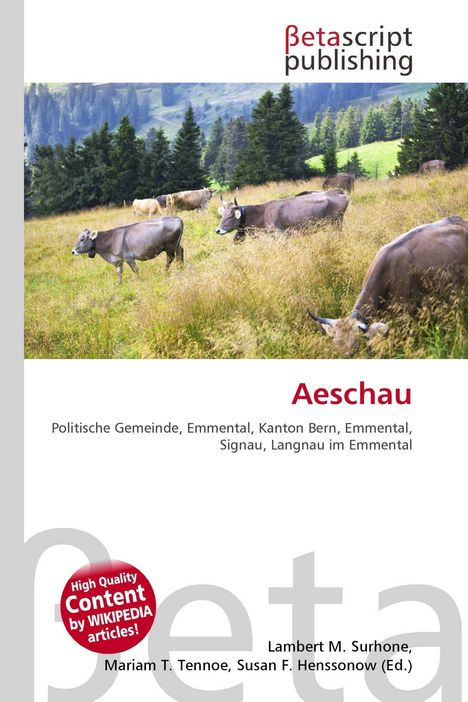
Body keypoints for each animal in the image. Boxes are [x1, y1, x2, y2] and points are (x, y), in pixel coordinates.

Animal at [216, 190, 349, 241]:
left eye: (230, 216)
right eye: (222, 216)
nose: (218, 230)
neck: (263, 213)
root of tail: (337, 191)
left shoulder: (281, 235)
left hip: (337, 224)